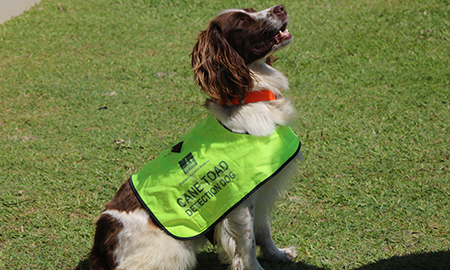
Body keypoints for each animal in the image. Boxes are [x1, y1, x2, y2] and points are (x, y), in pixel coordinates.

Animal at [88, 4, 302, 270]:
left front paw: (278, 254)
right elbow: (248, 244)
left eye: (251, 9)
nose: (280, 8)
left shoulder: (261, 189)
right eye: (241, 21)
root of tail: (99, 250)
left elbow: (264, 230)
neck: (251, 99)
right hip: (174, 251)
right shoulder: (239, 200)